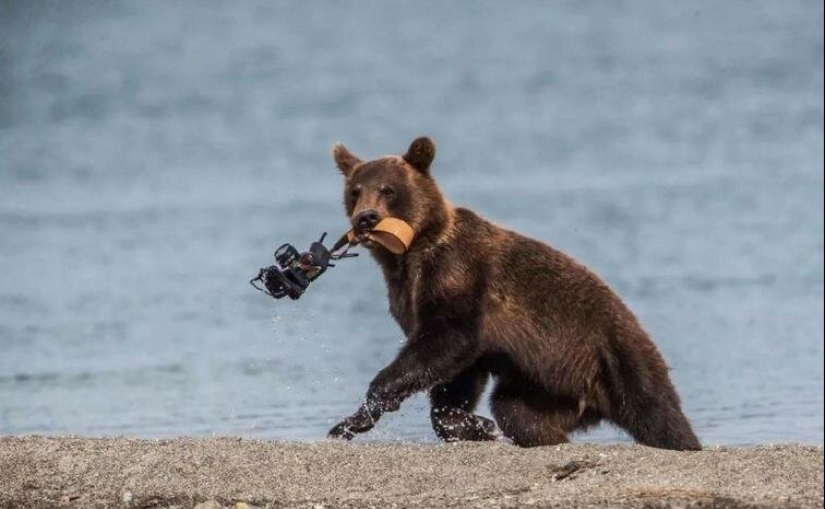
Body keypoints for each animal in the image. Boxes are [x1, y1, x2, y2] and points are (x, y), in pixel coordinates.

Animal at [326, 135, 700, 448]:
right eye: (355, 190)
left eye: (388, 189)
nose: (366, 218)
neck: (412, 253)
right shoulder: (408, 295)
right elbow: (457, 371)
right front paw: (475, 425)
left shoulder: (458, 275)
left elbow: (448, 340)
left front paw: (360, 412)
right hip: (547, 383)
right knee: (516, 410)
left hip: (617, 354)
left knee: (656, 412)